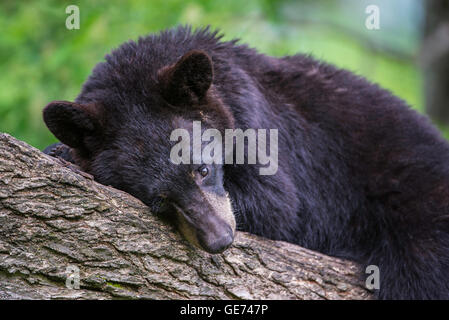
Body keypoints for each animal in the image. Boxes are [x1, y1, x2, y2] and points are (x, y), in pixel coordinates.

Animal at [42, 26, 448, 298]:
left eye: (203, 169)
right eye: (158, 201)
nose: (219, 238)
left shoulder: (255, 118)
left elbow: (278, 203)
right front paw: (63, 152)